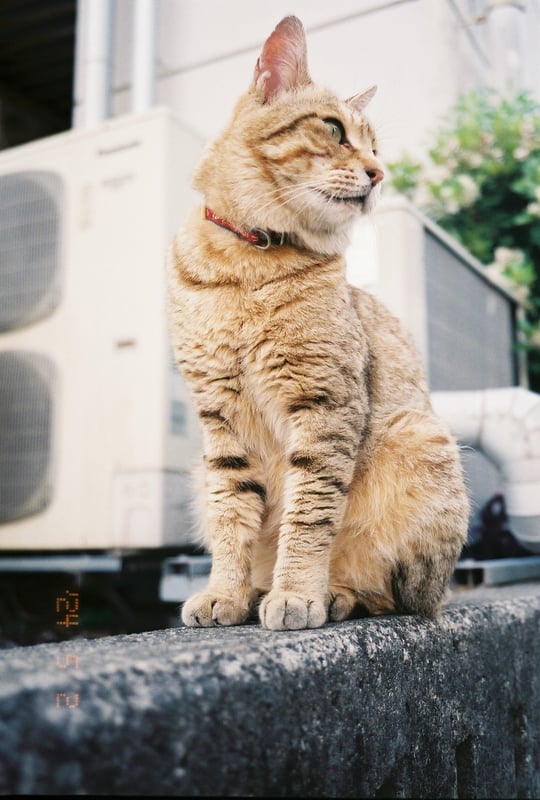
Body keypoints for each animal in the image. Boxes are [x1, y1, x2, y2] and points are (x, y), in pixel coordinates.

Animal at [169, 10, 468, 624]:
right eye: (334, 131)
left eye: (375, 146)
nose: (379, 173)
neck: (247, 264)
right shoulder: (221, 421)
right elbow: (232, 517)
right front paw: (225, 592)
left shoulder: (324, 405)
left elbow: (309, 515)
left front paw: (297, 593)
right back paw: (256, 591)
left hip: (421, 441)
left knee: (391, 595)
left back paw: (333, 594)